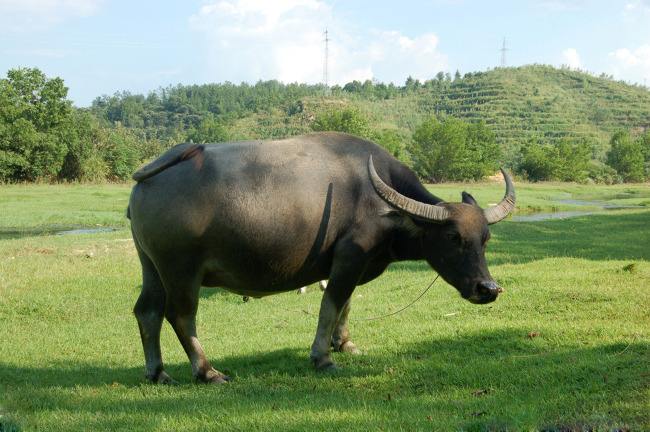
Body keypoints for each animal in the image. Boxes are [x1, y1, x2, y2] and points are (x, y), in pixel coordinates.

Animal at [126, 130, 512, 384]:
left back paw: (157, 372)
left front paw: (345, 344)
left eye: (485, 239)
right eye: (453, 237)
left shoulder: (351, 264)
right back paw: (207, 371)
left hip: (151, 266)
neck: (380, 202)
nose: (488, 289)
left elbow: (347, 305)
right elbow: (332, 303)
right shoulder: (349, 258)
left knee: (147, 311)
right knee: (180, 315)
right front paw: (323, 357)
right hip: (181, 270)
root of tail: (154, 173)